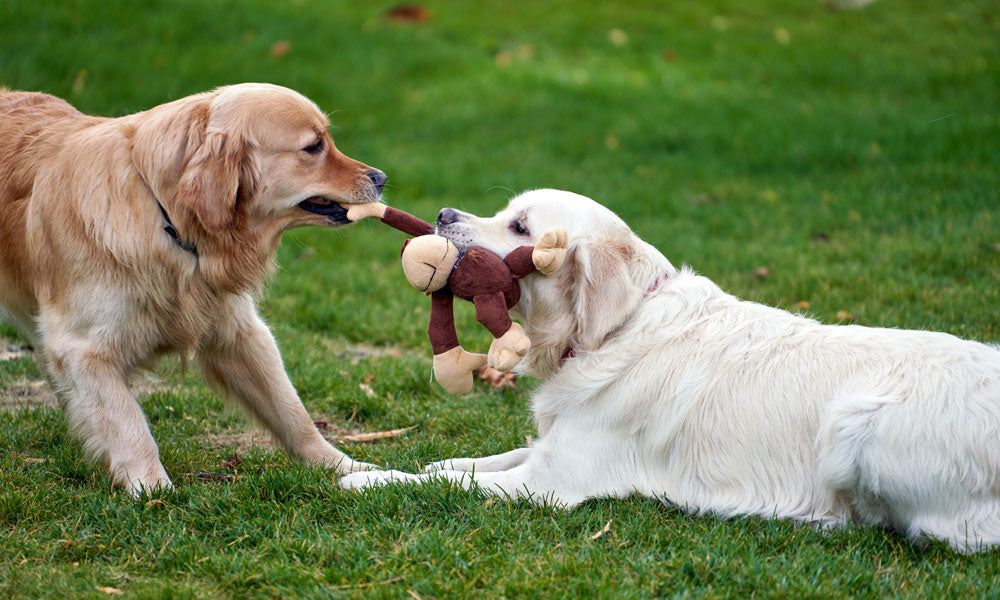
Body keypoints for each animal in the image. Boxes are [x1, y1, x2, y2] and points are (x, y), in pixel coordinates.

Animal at [0, 85, 384, 496]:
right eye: (313, 147)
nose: (381, 176)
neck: (167, 217)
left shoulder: (240, 333)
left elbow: (292, 411)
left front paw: (342, 465)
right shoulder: (83, 350)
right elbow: (129, 424)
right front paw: (152, 489)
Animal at [342, 189, 1000, 552]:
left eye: (521, 227)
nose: (442, 212)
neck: (617, 328)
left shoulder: (551, 483)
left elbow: (438, 482)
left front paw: (369, 481)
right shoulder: (553, 448)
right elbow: (471, 463)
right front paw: (440, 461)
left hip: (859, 427)